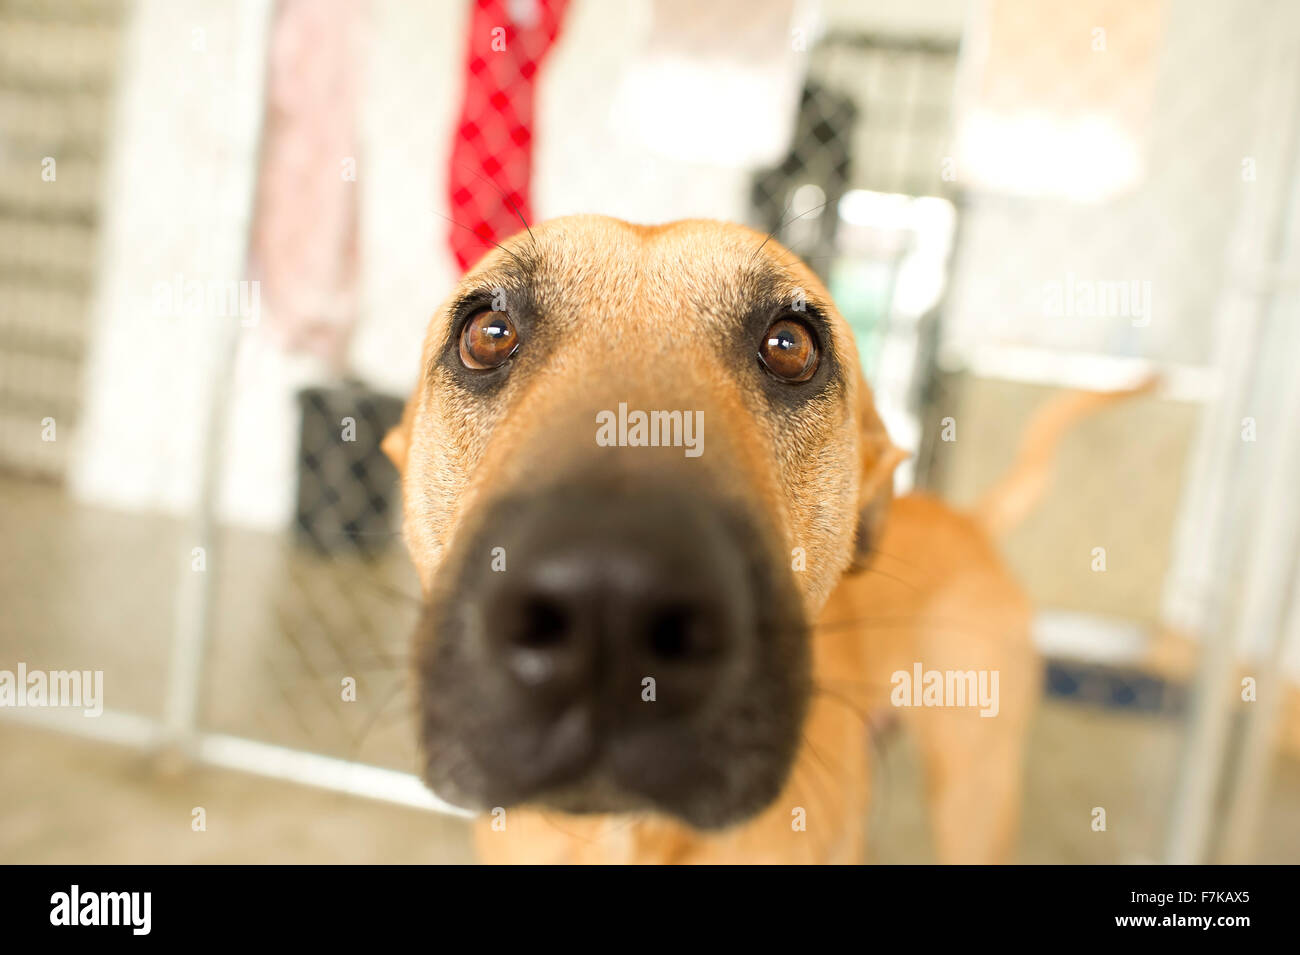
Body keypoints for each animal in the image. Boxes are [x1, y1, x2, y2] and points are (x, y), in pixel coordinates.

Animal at [379, 216, 1144, 867]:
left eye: (790, 345)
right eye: (488, 333)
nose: (609, 602)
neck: (636, 836)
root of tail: (968, 520)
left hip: (975, 793)